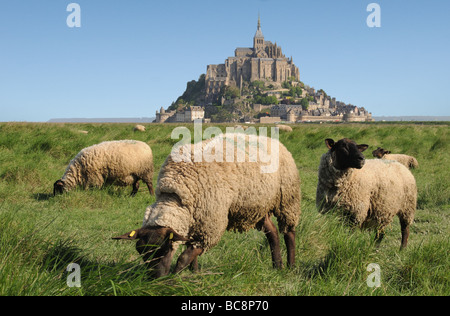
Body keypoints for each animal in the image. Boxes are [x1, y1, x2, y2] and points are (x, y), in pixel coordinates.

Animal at [113, 133, 302, 276]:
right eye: (141, 252)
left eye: (165, 249)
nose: (155, 278)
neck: (178, 194)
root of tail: (275, 141)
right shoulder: (194, 221)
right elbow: (191, 252)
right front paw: (195, 272)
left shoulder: (211, 226)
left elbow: (184, 256)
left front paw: (175, 276)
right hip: (258, 206)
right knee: (273, 232)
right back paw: (277, 265)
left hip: (287, 199)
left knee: (289, 233)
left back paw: (291, 266)